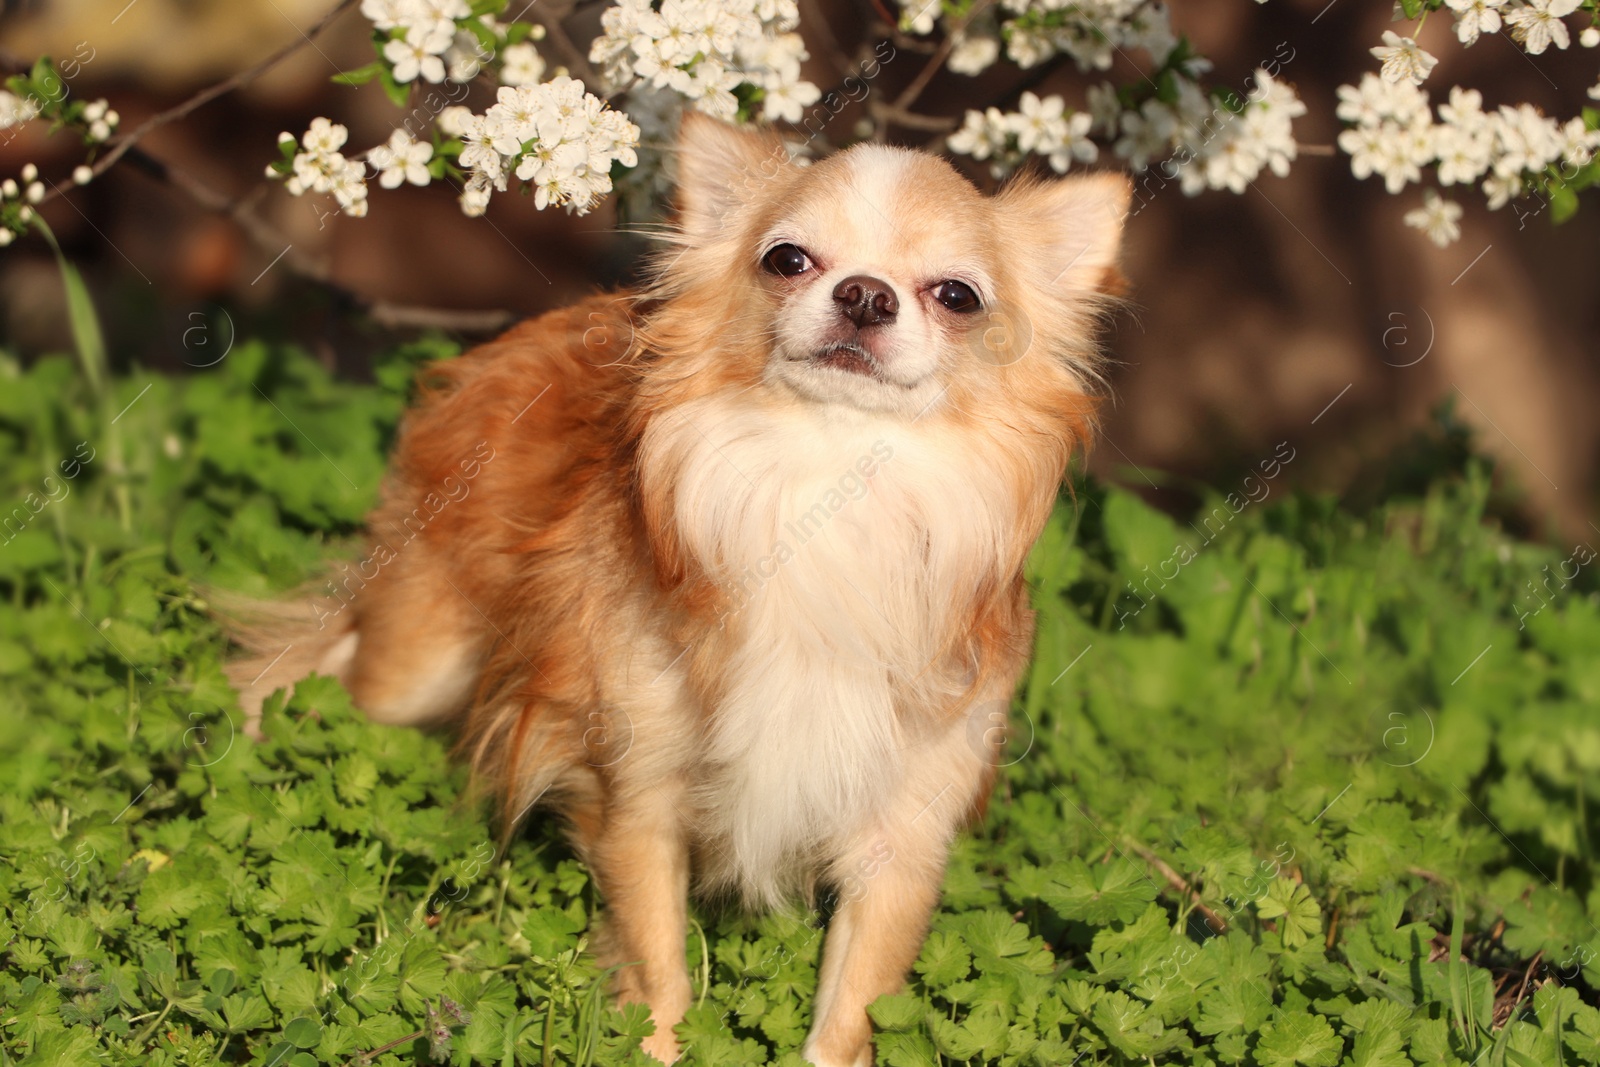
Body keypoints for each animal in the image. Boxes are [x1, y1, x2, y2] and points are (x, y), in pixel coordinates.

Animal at [232, 112, 1132, 1062]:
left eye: (957, 296)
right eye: (787, 259)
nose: (865, 294)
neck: (823, 482)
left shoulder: (904, 832)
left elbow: (852, 1005)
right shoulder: (640, 793)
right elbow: (655, 958)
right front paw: (659, 1041)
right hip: (416, 660)